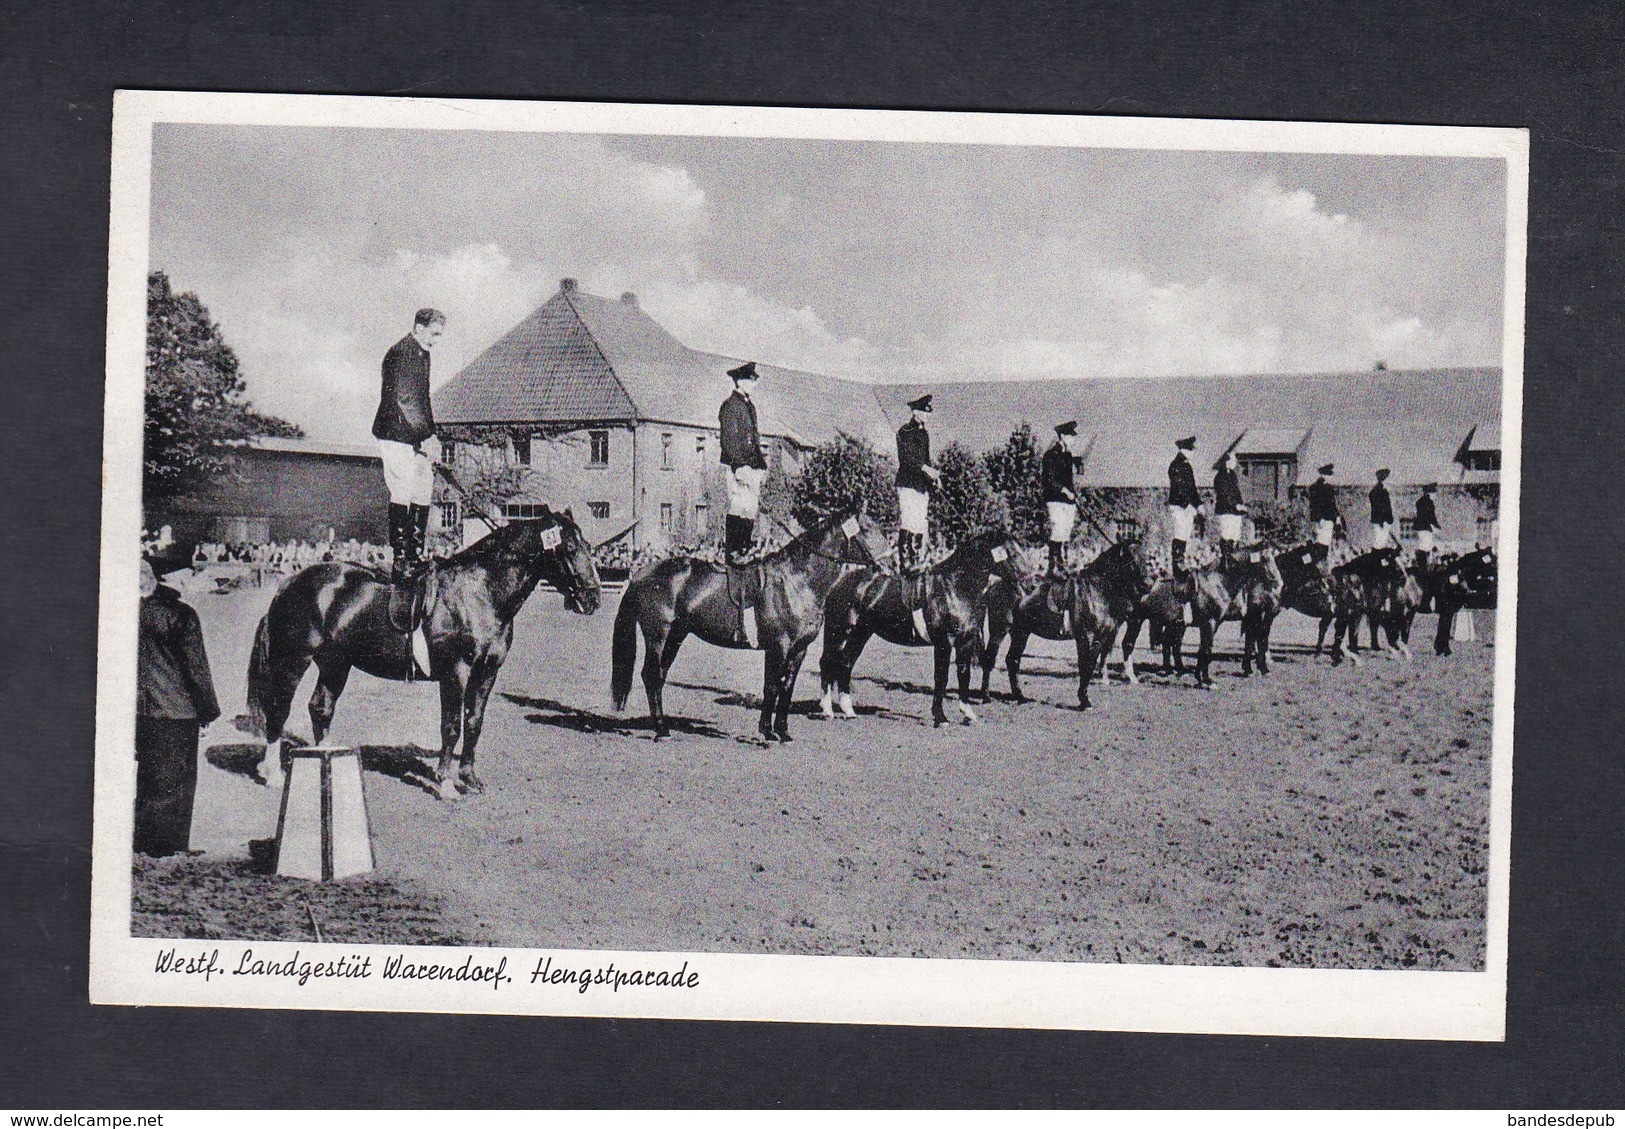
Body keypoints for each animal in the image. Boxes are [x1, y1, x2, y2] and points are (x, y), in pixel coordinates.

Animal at [250, 506, 607, 799]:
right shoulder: (456, 671)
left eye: (588, 548)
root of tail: (290, 583)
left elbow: (474, 722)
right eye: (569, 549)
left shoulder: (487, 672)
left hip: (336, 662)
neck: (480, 593)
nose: (592, 599)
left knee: (320, 708)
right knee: (279, 709)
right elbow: (451, 725)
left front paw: (469, 778)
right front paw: (446, 784)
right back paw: (273, 775)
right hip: (293, 660)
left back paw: (326, 762)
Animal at [611, 510, 890, 740]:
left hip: (675, 636)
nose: (891, 562)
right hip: (657, 635)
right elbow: (771, 686)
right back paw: (661, 730)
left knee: (658, 676)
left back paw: (662, 726)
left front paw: (783, 732)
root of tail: (640, 573)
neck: (796, 581)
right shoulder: (778, 646)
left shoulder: (799, 650)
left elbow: (786, 688)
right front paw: (766, 731)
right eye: (866, 528)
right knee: (651, 674)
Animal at [819, 526, 1020, 724]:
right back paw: (827, 710)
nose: (1024, 582)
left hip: (860, 633)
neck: (953, 589)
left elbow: (964, 674)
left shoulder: (966, 641)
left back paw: (848, 710)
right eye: (1012, 553)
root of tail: (839, 584)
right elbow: (942, 678)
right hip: (839, 631)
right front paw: (941, 717)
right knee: (827, 662)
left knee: (845, 663)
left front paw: (967, 713)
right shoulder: (944, 643)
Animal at [975, 536, 1157, 708]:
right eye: (1130, 556)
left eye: (1146, 557)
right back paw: (986, 696)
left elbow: (1090, 665)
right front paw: (1084, 701)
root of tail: (993, 585)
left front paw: (1084, 699)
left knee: (1012, 660)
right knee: (990, 659)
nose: (1148, 584)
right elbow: (1084, 666)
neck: (1095, 590)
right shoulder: (1085, 636)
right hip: (1000, 629)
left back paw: (1020, 697)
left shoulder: (1099, 638)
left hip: (1021, 632)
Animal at [1118, 549, 1280, 688]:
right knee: (1128, 644)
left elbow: (1204, 649)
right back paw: (1133, 677)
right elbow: (1207, 650)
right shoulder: (1211, 623)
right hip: (1136, 620)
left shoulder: (1212, 624)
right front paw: (1208, 681)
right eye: (1264, 559)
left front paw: (1200, 678)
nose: (1277, 581)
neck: (1216, 582)